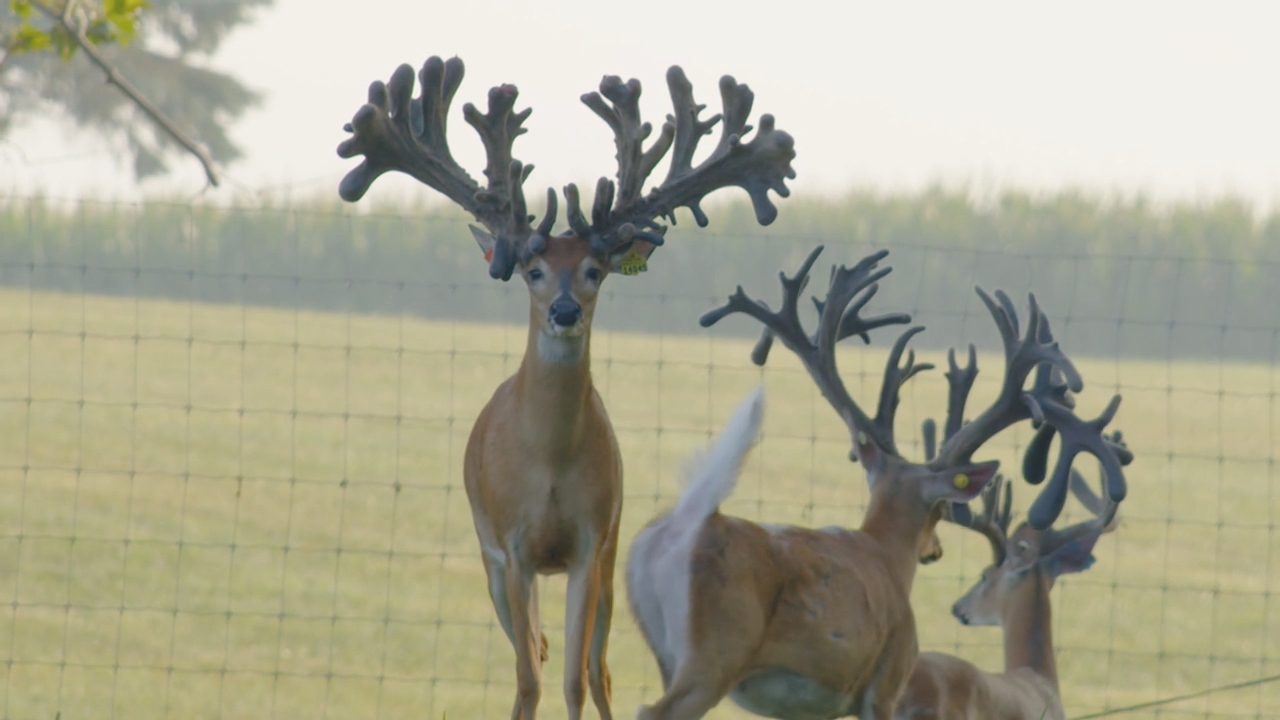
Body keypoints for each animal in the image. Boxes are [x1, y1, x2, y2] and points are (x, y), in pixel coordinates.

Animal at [336, 56, 796, 720]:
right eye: (532, 270)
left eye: (594, 271)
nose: (563, 310)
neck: (548, 462)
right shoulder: (512, 546)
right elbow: (528, 678)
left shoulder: (588, 541)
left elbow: (577, 679)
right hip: (493, 560)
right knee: (535, 648)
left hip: (610, 556)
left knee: (597, 668)